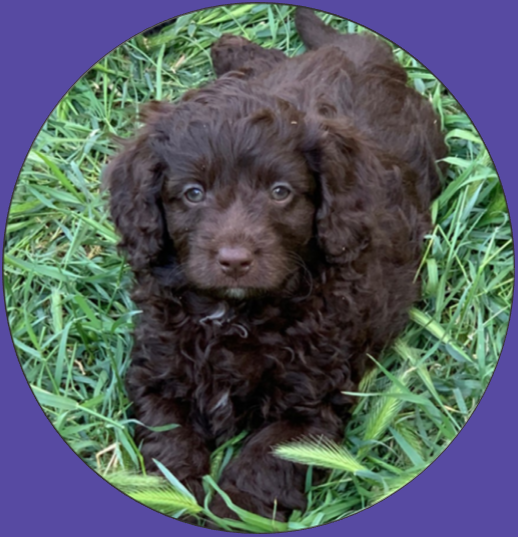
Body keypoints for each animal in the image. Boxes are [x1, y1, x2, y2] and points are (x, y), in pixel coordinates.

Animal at [103, 7, 448, 520]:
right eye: (193, 193)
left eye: (280, 192)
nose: (234, 260)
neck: (235, 314)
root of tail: (360, 53)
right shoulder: (157, 371)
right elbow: (168, 438)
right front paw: (177, 496)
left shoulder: (312, 398)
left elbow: (266, 458)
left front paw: (232, 513)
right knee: (265, 61)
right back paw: (228, 46)